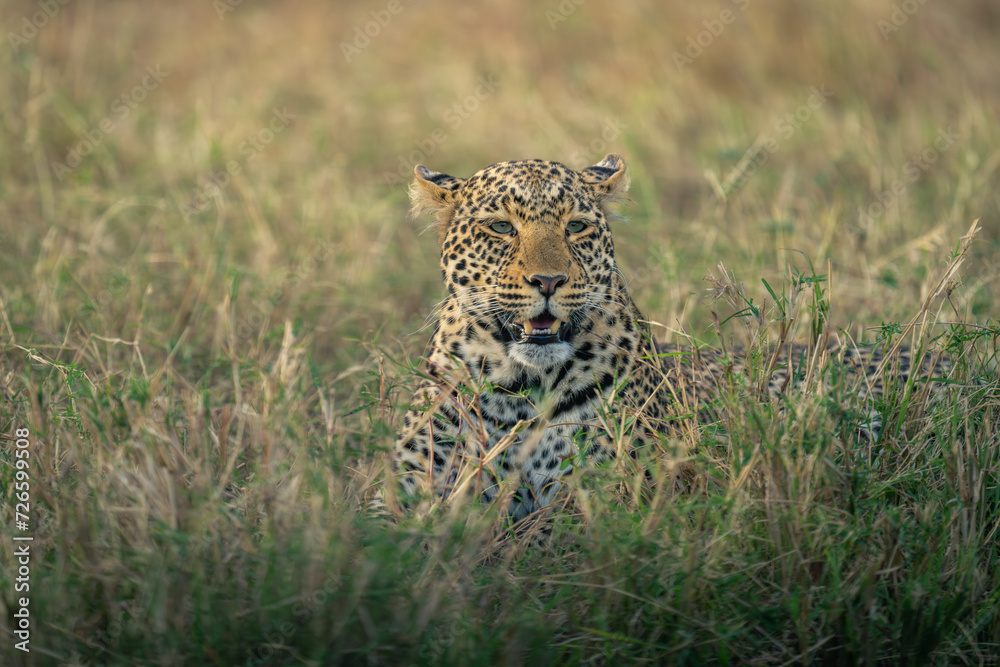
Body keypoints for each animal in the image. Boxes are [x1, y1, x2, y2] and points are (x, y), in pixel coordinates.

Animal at [384, 154, 950, 522]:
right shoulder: (407, 490)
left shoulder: (602, 498)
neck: (516, 385)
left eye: (577, 227)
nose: (548, 281)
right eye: (501, 227)